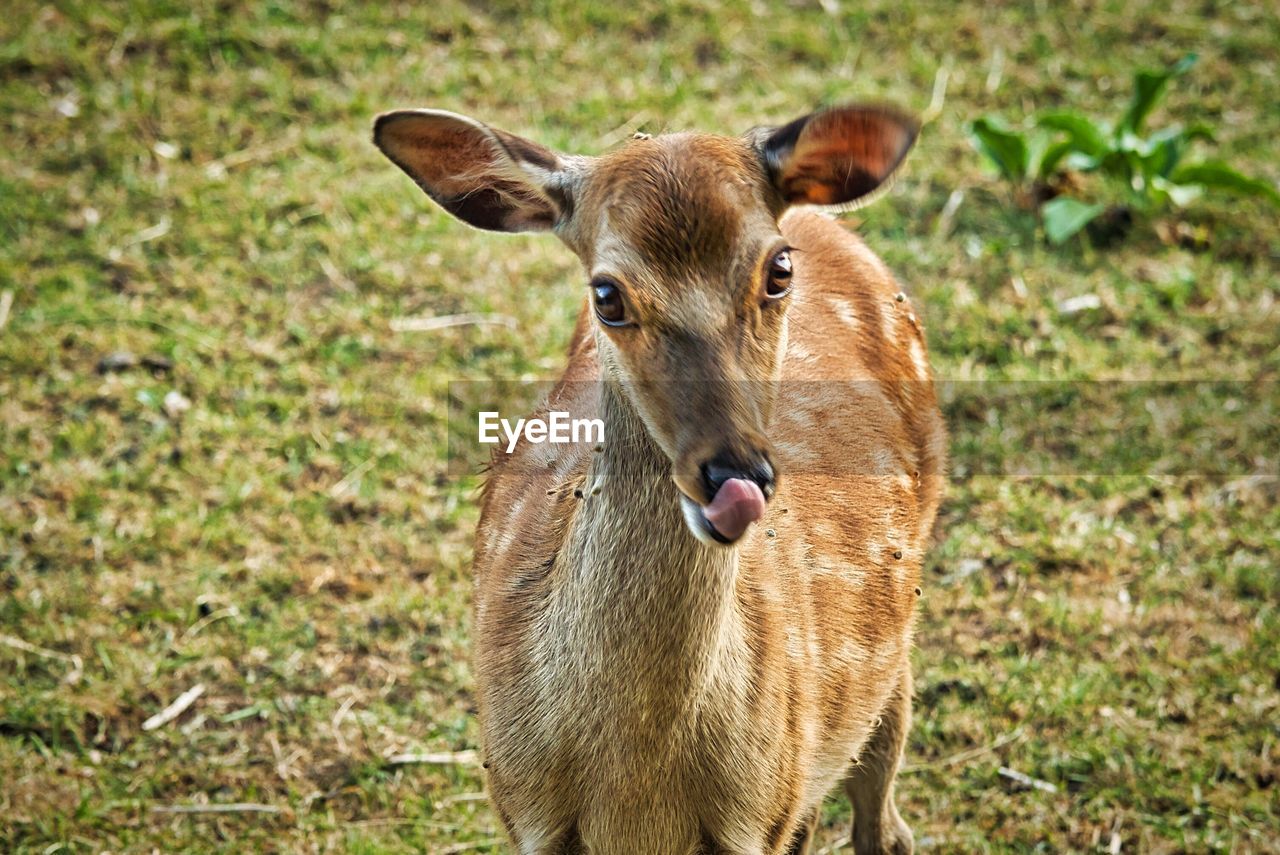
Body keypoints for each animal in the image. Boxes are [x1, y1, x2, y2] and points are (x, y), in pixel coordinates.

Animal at [373, 101, 947, 855]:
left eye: (778, 269)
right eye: (607, 294)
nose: (735, 473)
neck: (635, 790)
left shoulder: (762, 812)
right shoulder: (521, 806)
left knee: (885, 813)